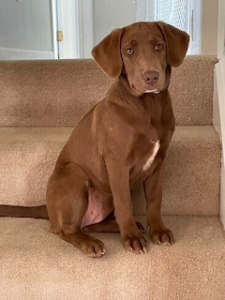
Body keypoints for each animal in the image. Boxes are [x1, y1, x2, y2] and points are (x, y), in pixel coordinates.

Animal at [0, 22, 190, 258]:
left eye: (159, 46)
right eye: (129, 50)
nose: (151, 77)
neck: (148, 107)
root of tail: (48, 208)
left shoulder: (158, 162)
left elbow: (155, 200)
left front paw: (158, 230)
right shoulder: (118, 163)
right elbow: (125, 204)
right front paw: (132, 239)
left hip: (105, 193)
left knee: (90, 224)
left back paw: (122, 227)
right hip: (75, 174)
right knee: (68, 229)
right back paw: (92, 243)